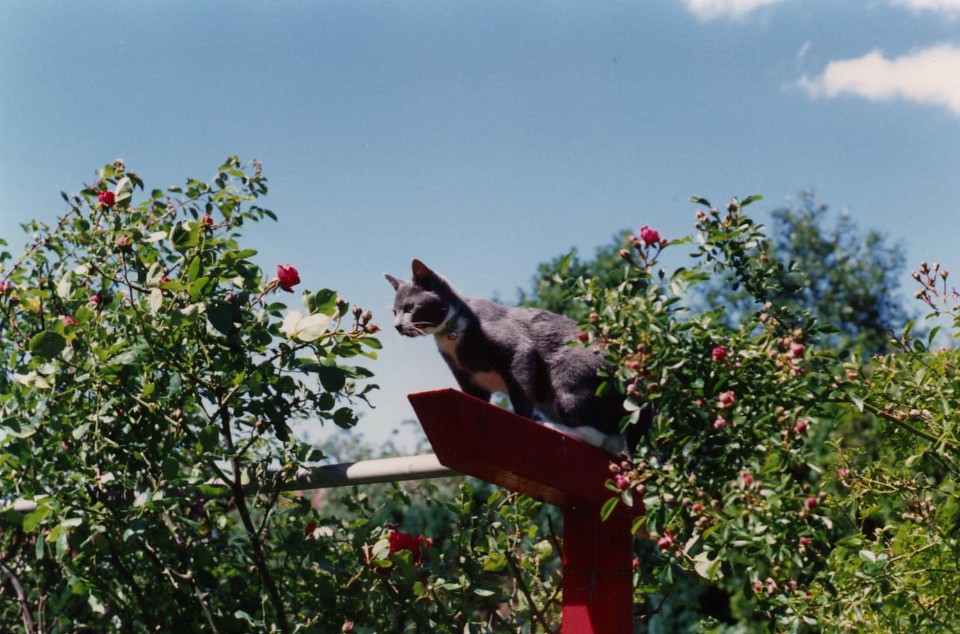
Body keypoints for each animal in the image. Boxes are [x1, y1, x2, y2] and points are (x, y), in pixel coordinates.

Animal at [385, 258, 641, 455]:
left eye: (409, 307)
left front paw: (524, 419)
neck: (453, 330)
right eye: (394, 311)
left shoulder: (517, 348)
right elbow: (475, 397)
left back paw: (555, 427)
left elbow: (521, 387)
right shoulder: (467, 377)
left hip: (571, 374)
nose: (396, 326)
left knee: (600, 433)